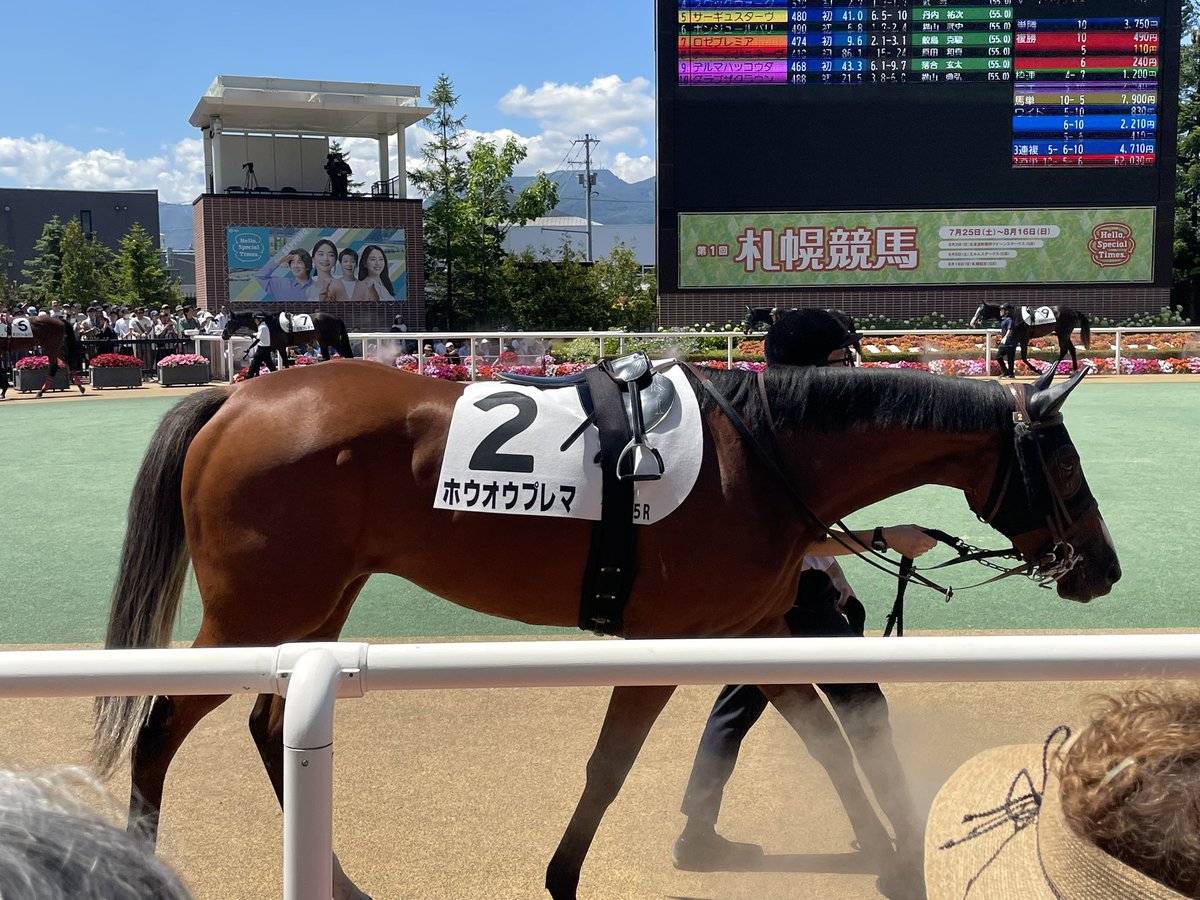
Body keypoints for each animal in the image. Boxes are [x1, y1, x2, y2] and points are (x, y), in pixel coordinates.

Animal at [92, 359, 1119, 900]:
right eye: (1067, 470)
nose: (1102, 569)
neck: (762, 457)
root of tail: (235, 395)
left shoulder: (752, 632)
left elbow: (828, 736)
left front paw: (894, 857)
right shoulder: (671, 643)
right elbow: (611, 764)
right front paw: (560, 877)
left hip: (316, 604)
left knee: (268, 726)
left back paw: (339, 881)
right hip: (253, 610)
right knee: (159, 728)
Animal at [222, 310, 355, 366]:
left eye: (229, 322)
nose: (223, 335)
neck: (269, 323)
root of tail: (336, 318)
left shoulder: (280, 347)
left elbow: (285, 363)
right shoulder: (271, 347)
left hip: (333, 340)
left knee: (345, 354)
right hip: (322, 341)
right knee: (327, 357)